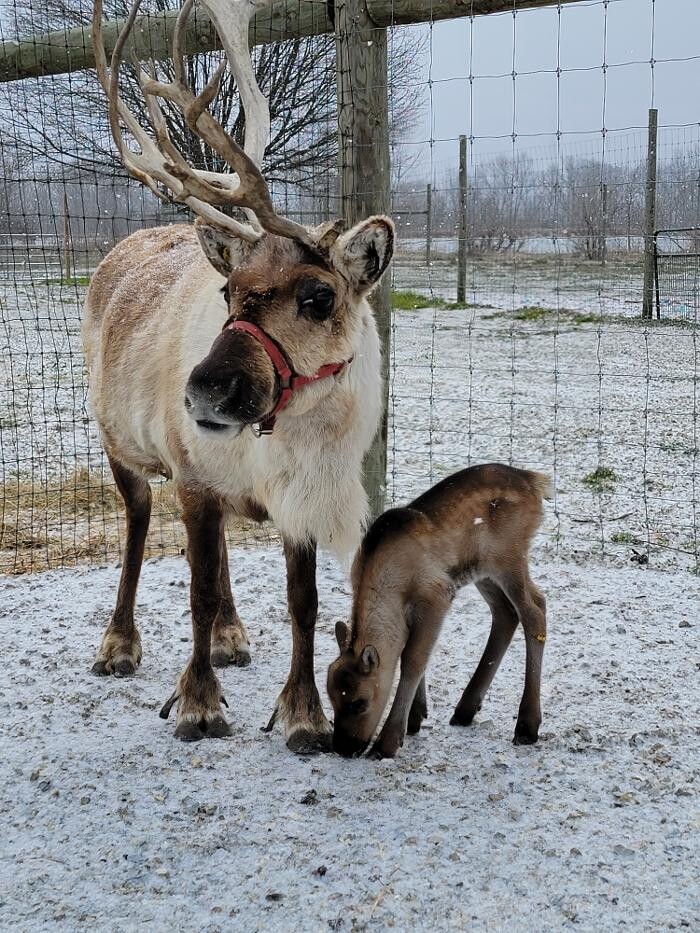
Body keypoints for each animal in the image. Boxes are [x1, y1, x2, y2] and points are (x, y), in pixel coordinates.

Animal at [83, 0, 394, 752]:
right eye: (229, 291)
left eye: (319, 297)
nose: (204, 391)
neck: (297, 443)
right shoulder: (191, 477)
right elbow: (193, 589)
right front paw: (197, 704)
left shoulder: (302, 502)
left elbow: (304, 603)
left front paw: (304, 712)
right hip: (120, 444)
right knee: (136, 525)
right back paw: (119, 643)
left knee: (219, 546)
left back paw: (231, 635)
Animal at [327, 464, 550, 759]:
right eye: (330, 695)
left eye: (359, 702)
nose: (343, 748)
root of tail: (535, 480)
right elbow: (410, 652)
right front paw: (415, 717)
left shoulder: (437, 595)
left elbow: (413, 659)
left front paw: (387, 742)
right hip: (483, 572)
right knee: (506, 613)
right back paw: (466, 709)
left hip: (509, 557)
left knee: (535, 610)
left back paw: (526, 726)